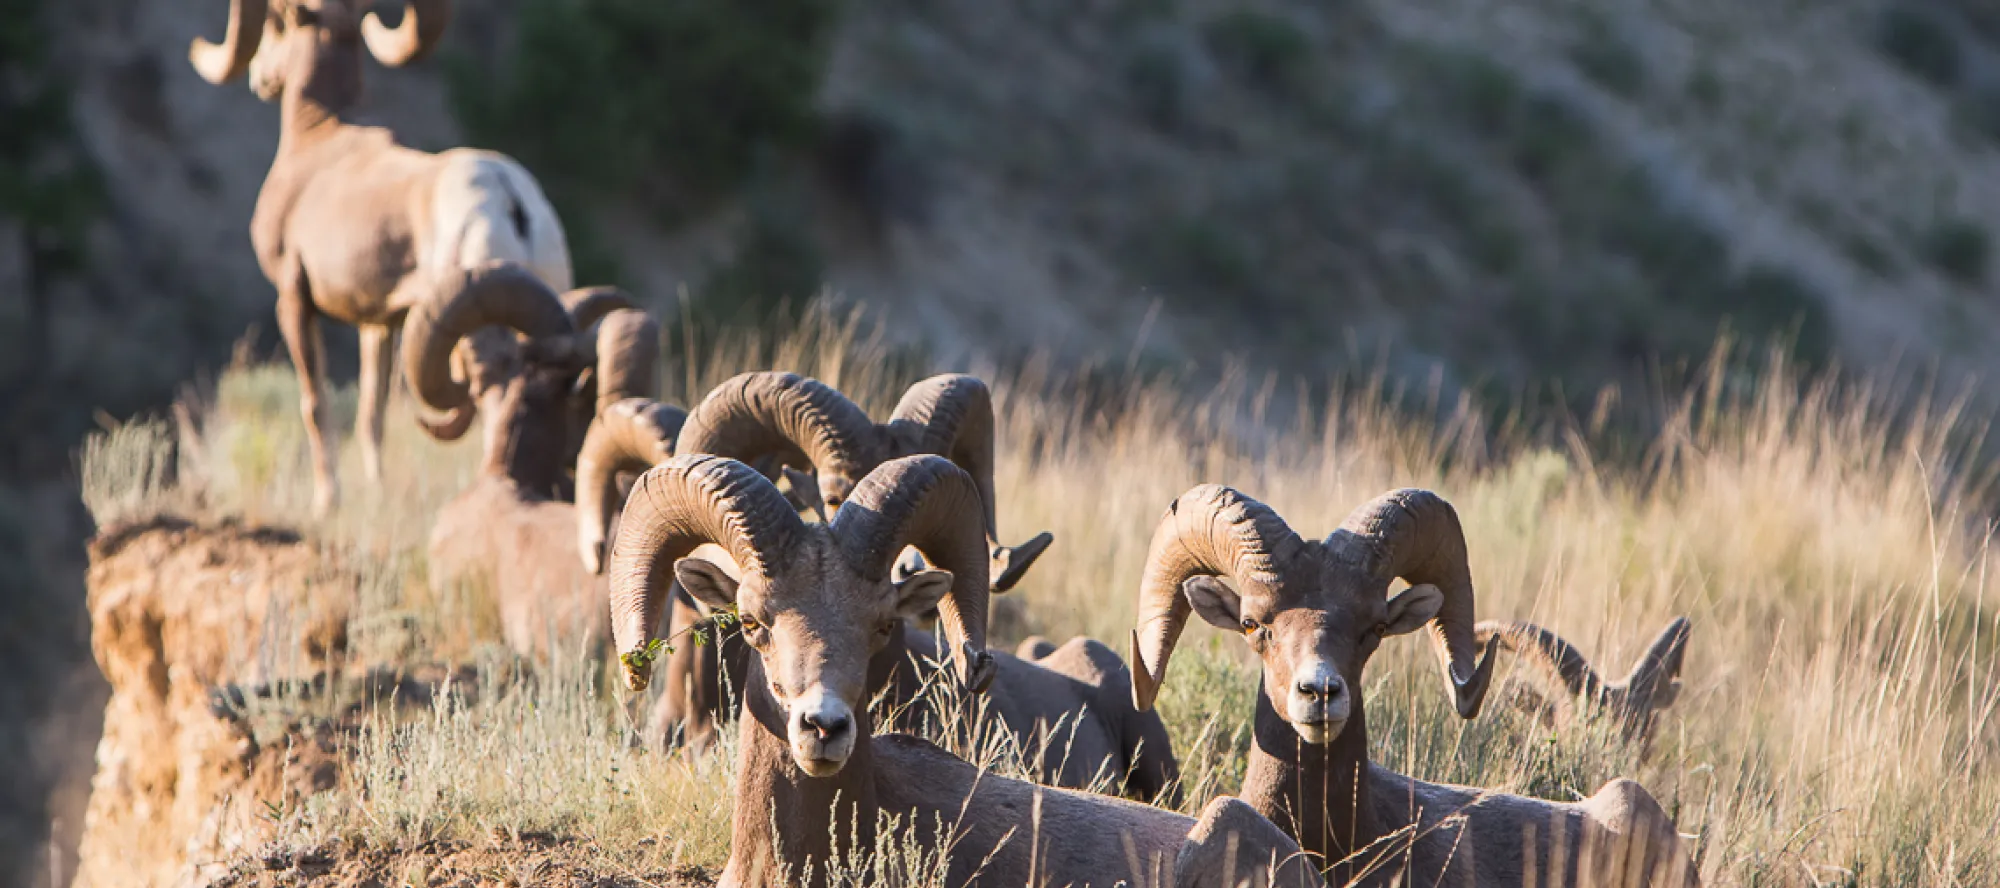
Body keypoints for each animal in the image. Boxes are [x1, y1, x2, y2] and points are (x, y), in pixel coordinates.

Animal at [188, 0, 572, 516]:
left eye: (274, 26)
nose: (259, 78)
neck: (318, 138)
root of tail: (510, 199)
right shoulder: (378, 322)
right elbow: (373, 412)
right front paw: (373, 492)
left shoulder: (294, 299)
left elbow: (315, 403)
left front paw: (327, 503)